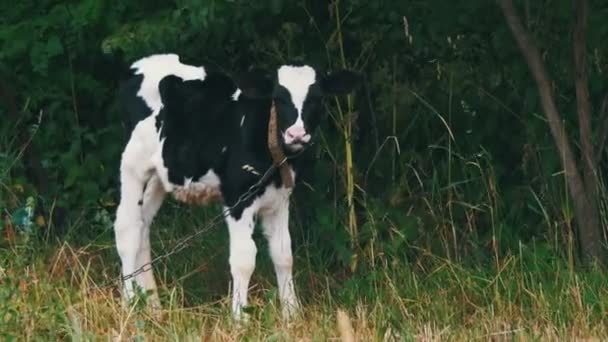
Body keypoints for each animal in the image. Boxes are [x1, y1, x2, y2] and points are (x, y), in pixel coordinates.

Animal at [115, 52, 356, 318]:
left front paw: (292, 315)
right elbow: (244, 260)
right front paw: (240, 317)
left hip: (161, 174)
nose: (296, 134)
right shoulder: (238, 198)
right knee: (127, 229)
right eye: (279, 97)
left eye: (316, 98)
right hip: (132, 164)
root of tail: (140, 64)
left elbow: (284, 254)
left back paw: (154, 306)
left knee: (143, 225)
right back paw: (128, 304)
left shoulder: (280, 199)